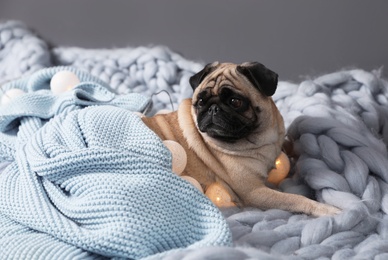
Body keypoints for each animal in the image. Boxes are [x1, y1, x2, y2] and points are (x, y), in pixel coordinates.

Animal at [142, 62, 340, 216]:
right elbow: (295, 199)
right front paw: (327, 210)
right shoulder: (254, 192)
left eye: (235, 102)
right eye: (200, 102)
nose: (213, 108)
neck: (257, 141)